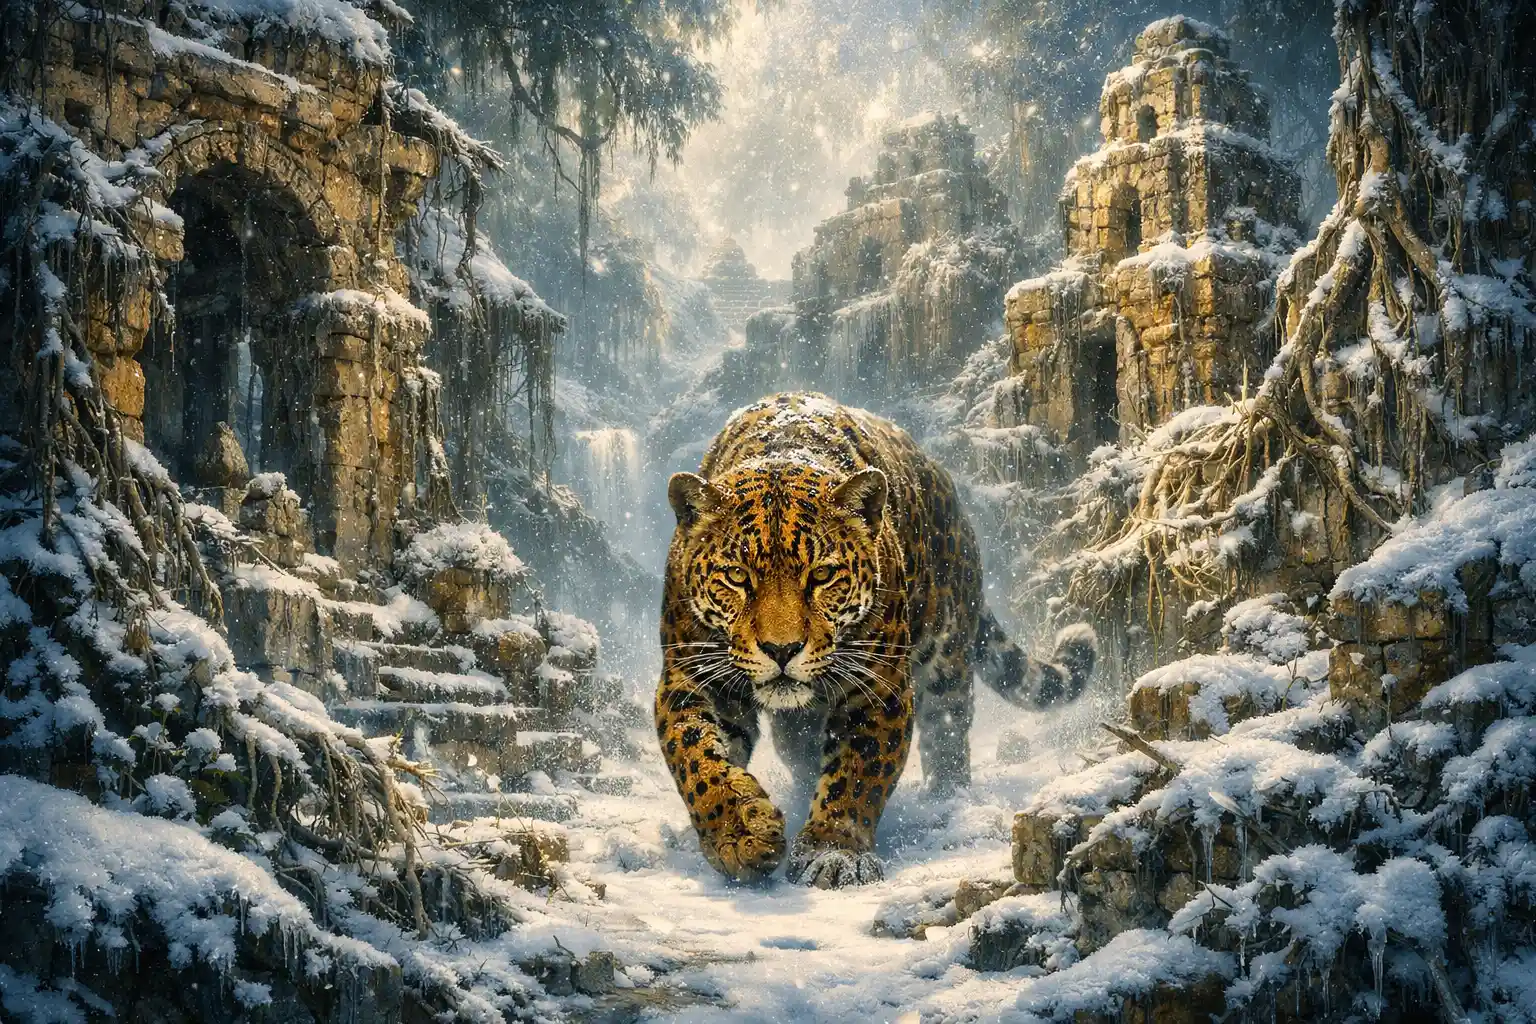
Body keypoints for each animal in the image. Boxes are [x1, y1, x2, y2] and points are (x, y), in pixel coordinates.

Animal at [655, 392, 1097, 888]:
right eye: (736, 576)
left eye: (822, 575)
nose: (781, 650)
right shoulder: (692, 678)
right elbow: (695, 756)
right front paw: (741, 834)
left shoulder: (878, 687)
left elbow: (858, 772)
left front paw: (833, 852)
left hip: (946, 656)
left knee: (947, 735)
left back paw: (946, 804)